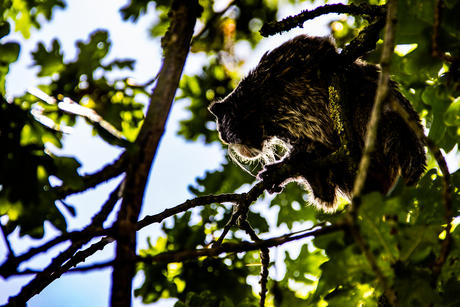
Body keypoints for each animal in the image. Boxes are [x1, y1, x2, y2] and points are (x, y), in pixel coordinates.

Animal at [210, 33, 426, 212]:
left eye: (228, 138)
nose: (237, 151)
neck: (265, 109)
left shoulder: (287, 55)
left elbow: (323, 48)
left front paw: (331, 60)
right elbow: (312, 155)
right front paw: (286, 167)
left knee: (366, 99)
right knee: (327, 191)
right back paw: (315, 178)